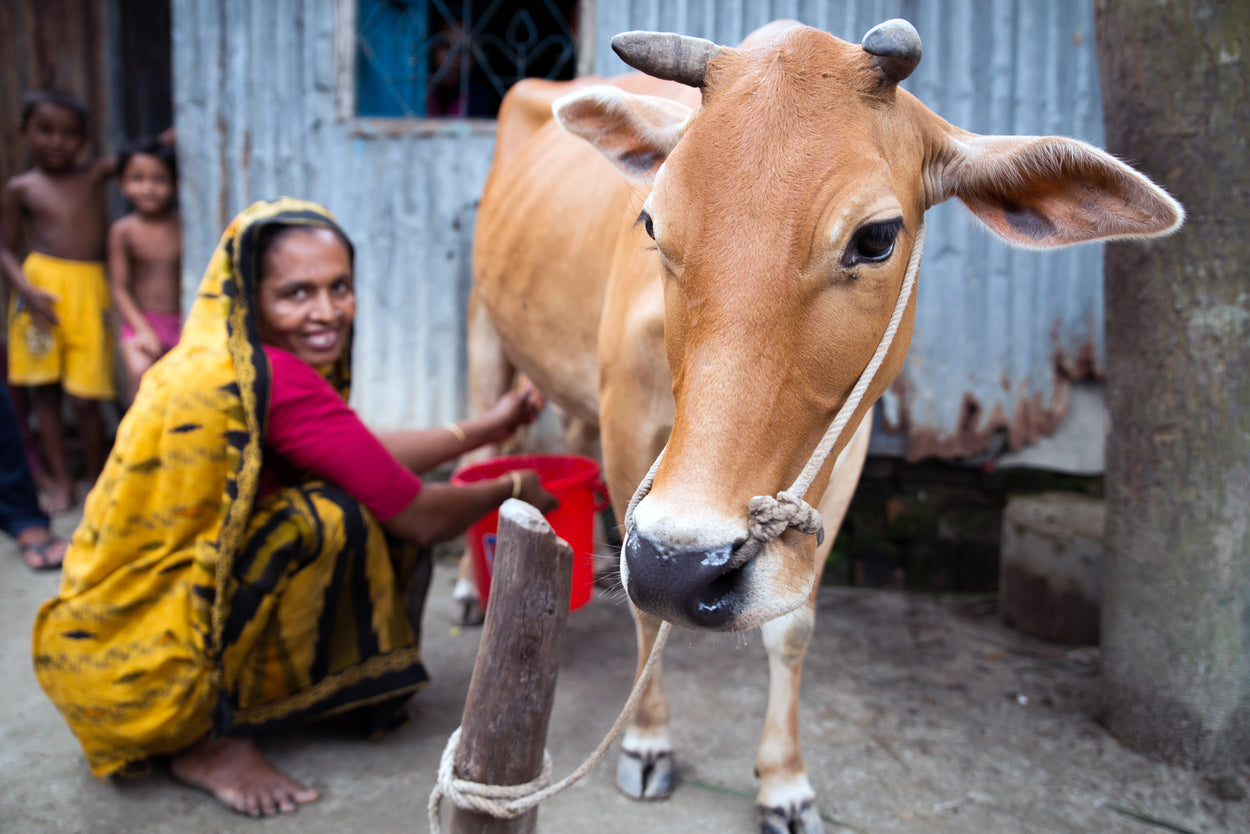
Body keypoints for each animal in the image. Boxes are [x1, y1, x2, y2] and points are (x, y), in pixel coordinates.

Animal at [467, 16, 1180, 830]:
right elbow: (645, 610)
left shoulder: (846, 451)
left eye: (875, 238)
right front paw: (647, 741)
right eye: (652, 220)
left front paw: (784, 782)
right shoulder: (629, 434)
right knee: (485, 442)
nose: (685, 568)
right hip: (485, 336)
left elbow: (794, 626)